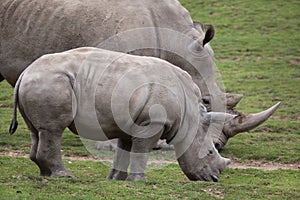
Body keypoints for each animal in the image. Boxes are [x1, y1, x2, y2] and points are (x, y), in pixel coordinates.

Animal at [10, 47, 232, 182]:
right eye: (210, 152)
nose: (214, 179)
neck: (190, 117)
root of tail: (26, 72)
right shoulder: (153, 121)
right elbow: (141, 151)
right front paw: (140, 181)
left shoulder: (132, 121)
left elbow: (123, 150)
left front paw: (116, 179)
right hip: (51, 81)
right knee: (53, 129)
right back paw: (64, 176)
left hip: (40, 82)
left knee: (37, 130)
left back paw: (46, 175)